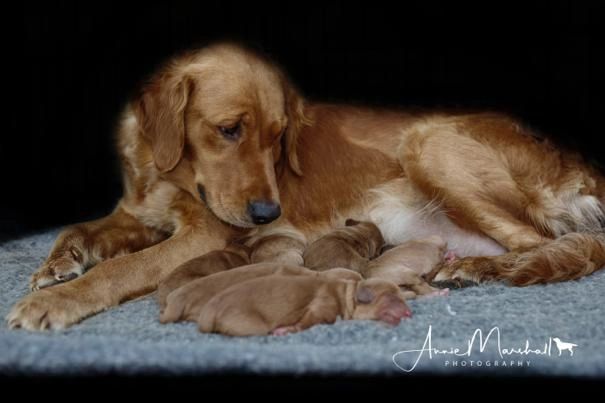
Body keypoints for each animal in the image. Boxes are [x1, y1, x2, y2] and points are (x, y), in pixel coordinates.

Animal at [198, 276, 410, 336]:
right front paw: (286, 330)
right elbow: (311, 319)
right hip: (250, 324)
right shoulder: (322, 305)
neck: (348, 294)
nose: (409, 312)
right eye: (392, 298)